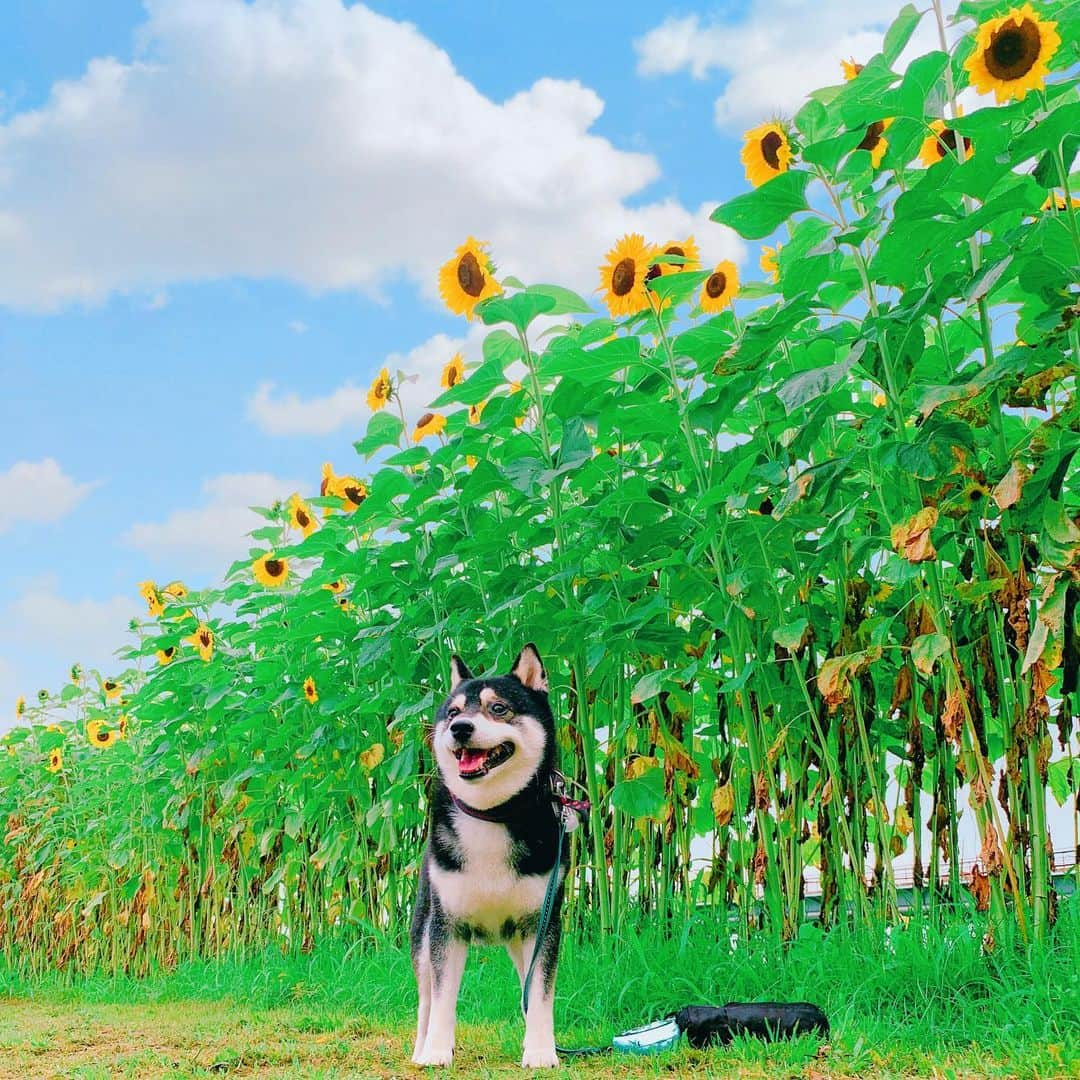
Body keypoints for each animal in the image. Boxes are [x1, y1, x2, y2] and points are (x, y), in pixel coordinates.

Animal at [408, 643, 570, 1067]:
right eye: (452, 712)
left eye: (498, 708)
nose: (460, 728)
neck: (491, 814)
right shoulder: (446, 928)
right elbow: (443, 1001)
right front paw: (436, 1052)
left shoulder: (542, 925)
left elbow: (540, 997)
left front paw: (541, 1052)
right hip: (422, 933)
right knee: (426, 1001)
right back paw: (421, 1049)